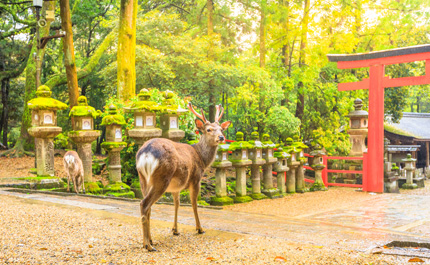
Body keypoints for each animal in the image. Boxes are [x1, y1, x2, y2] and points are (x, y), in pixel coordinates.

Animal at [137, 102, 232, 251]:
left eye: (221, 129)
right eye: (209, 129)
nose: (221, 138)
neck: (201, 158)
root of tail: (146, 153)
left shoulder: (176, 187)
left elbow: (177, 204)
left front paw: (175, 230)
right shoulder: (196, 178)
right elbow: (194, 204)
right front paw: (200, 228)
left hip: (143, 178)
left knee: (148, 208)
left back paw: (150, 241)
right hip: (162, 178)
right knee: (145, 204)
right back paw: (148, 245)